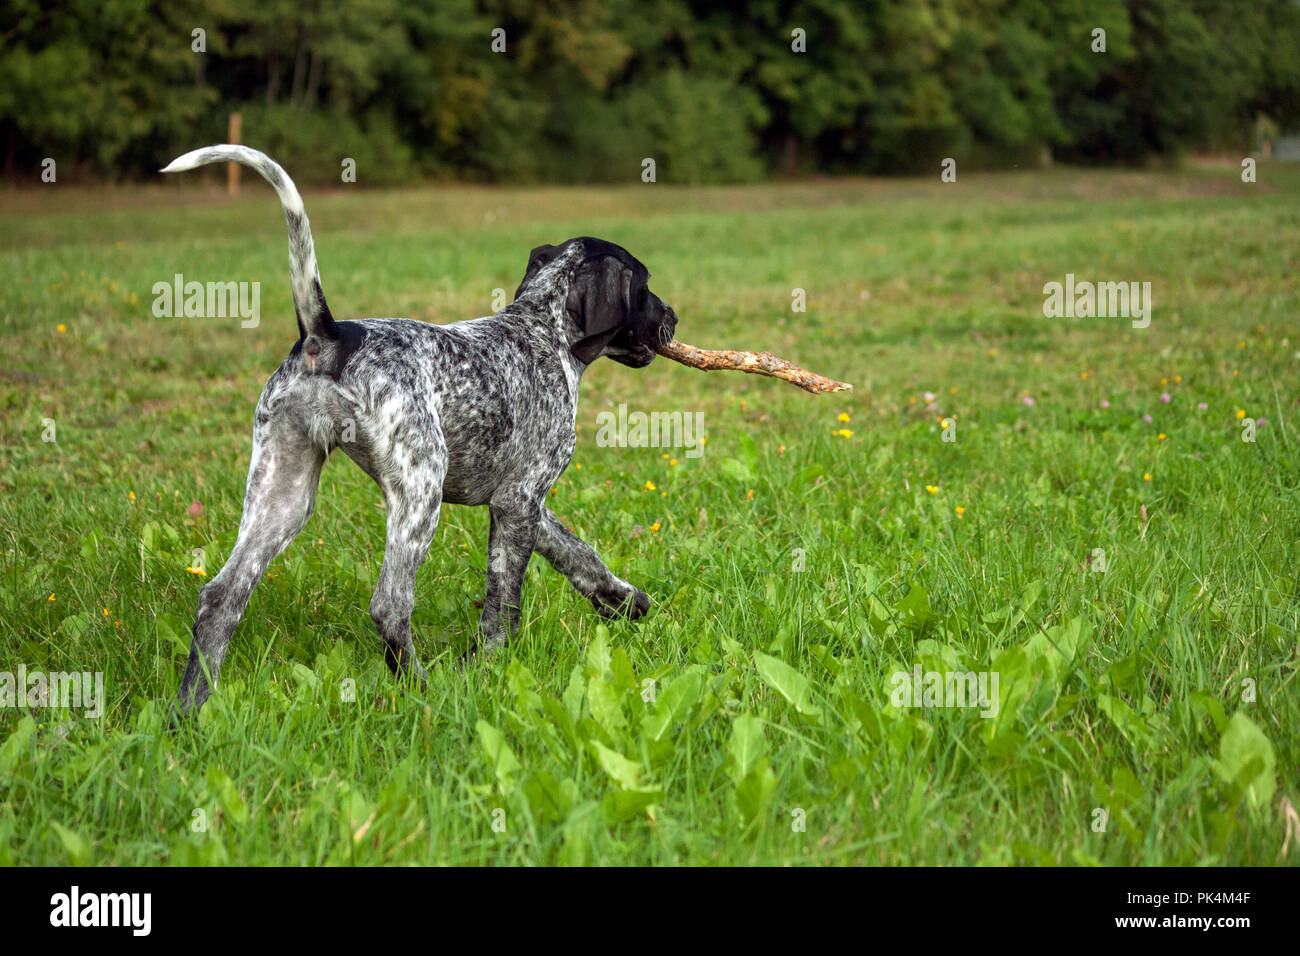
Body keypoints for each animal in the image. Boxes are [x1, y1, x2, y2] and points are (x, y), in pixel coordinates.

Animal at [159, 145, 681, 717]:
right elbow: (503, 601)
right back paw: (423, 691)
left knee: (220, 597)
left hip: (283, 495)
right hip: (420, 490)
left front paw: (624, 601)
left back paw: (189, 712)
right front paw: (488, 667)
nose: (674, 317)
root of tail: (328, 335)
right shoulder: (518, 500)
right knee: (390, 605)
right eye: (645, 286)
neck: (541, 331)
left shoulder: (523, 504)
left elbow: (578, 554)